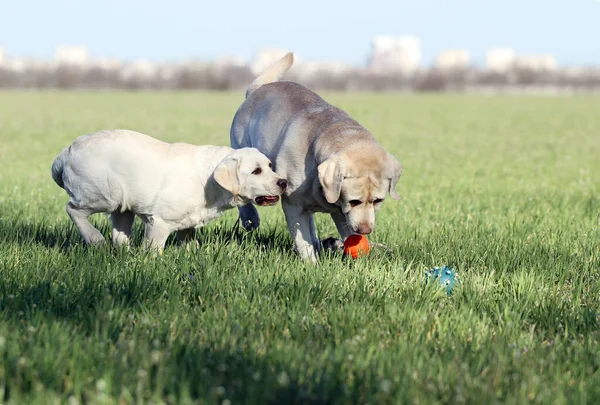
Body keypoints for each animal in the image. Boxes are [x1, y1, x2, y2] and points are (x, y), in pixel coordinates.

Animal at [52, 129, 288, 249]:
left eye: (270, 166)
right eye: (256, 171)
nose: (283, 182)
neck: (207, 180)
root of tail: (65, 152)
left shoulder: (187, 225)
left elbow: (191, 245)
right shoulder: (159, 222)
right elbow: (153, 250)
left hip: (123, 206)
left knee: (119, 236)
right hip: (104, 194)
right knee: (73, 209)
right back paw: (95, 239)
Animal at [230, 52, 404, 262]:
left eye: (378, 201)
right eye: (354, 201)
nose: (365, 230)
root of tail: (257, 88)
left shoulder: (340, 212)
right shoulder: (293, 205)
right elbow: (302, 241)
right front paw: (311, 264)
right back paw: (250, 218)